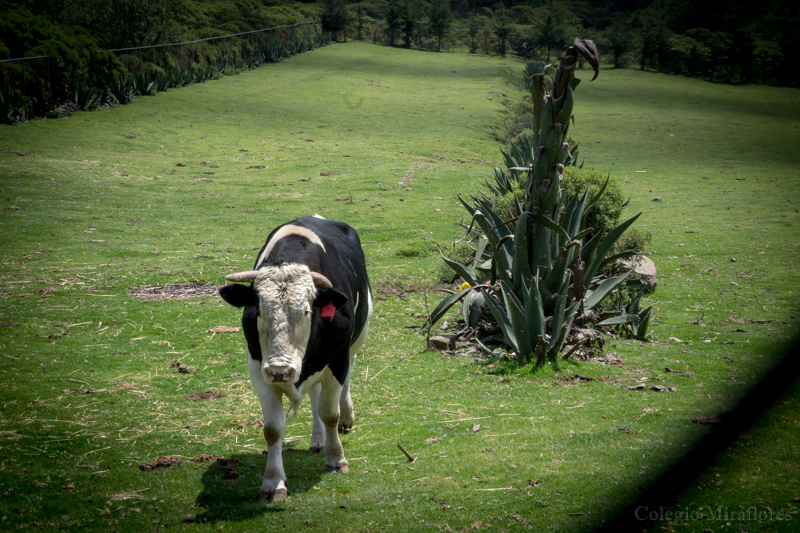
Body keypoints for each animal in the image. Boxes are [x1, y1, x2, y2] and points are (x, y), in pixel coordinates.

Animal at [217, 214, 370, 500]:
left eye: (307, 312)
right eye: (258, 311)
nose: (280, 371)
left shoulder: (337, 359)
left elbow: (330, 414)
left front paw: (336, 460)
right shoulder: (258, 367)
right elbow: (273, 428)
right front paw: (273, 483)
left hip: (355, 344)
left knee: (345, 382)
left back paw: (346, 418)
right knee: (315, 395)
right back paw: (318, 440)